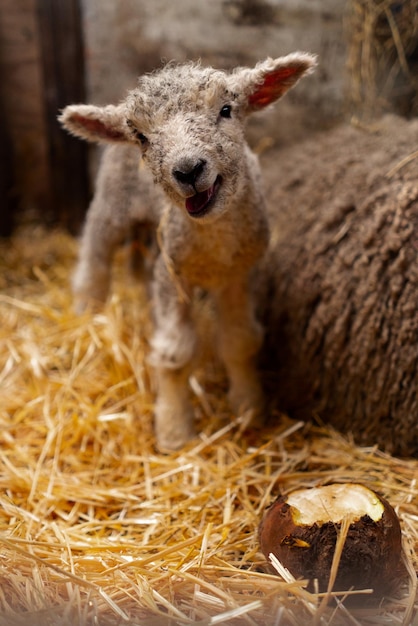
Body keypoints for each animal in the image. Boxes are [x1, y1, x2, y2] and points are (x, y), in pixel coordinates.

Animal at [59, 52, 316, 448]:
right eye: (142, 136)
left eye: (226, 109)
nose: (188, 170)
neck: (213, 242)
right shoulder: (172, 276)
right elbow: (174, 352)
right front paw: (174, 430)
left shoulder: (237, 275)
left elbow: (240, 340)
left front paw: (249, 409)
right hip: (111, 204)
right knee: (94, 263)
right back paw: (88, 317)